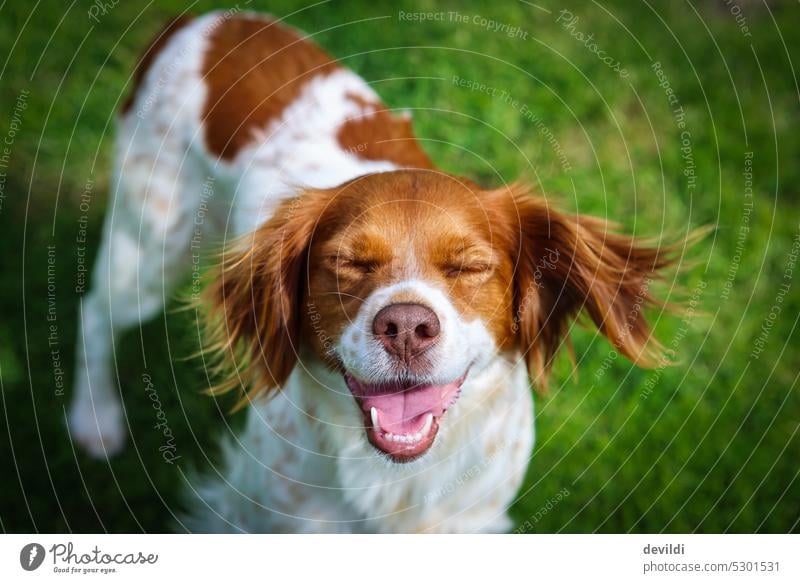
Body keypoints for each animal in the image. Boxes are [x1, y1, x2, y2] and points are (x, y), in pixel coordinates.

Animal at [70, 12, 680, 532]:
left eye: (469, 266)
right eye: (349, 262)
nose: (406, 327)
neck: (392, 480)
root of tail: (201, 20)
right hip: (149, 246)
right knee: (94, 314)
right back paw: (94, 421)